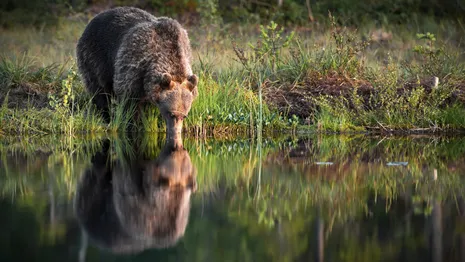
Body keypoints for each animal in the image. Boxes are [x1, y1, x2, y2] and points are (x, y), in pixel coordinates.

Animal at [77, 6, 197, 137]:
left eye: (184, 116)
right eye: (171, 113)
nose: (175, 132)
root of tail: (95, 18)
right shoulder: (134, 64)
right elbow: (129, 101)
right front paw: (133, 123)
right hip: (94, 57)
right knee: (99, 91)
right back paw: (105, 115)